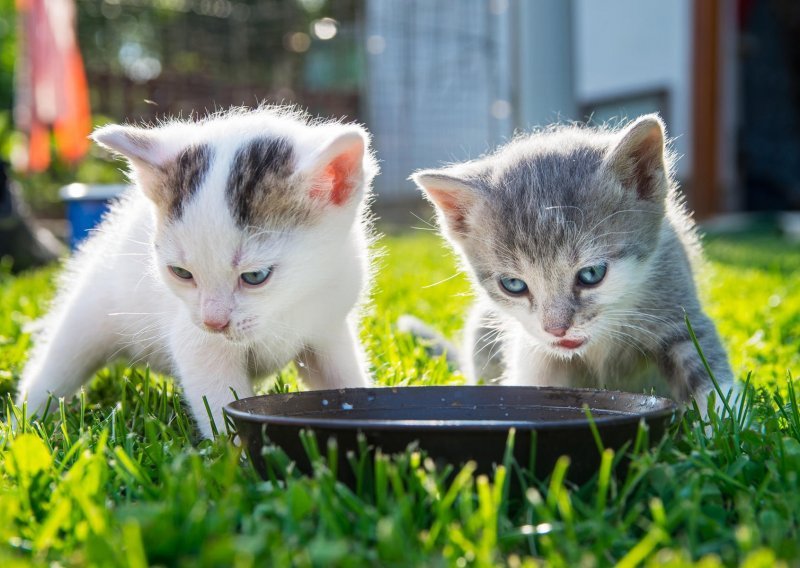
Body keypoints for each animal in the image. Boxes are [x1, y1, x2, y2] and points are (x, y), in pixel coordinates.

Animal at [16, 106, 378, 438]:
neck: (289, 304)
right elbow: (218, 400)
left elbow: (344, 377)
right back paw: (26, 420)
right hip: (91, 310)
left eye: (255, 277)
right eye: (181, 273)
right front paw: (232, 455)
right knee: (59, 362)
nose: (213, 323)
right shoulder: (197, 342)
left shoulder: (328, 324)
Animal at [416, 115, 736, 408]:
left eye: (592, 273)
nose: (557, 330)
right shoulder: (537, 353)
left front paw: (726, 423)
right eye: (513, 284)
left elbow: (708, 375)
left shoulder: (678, 305)